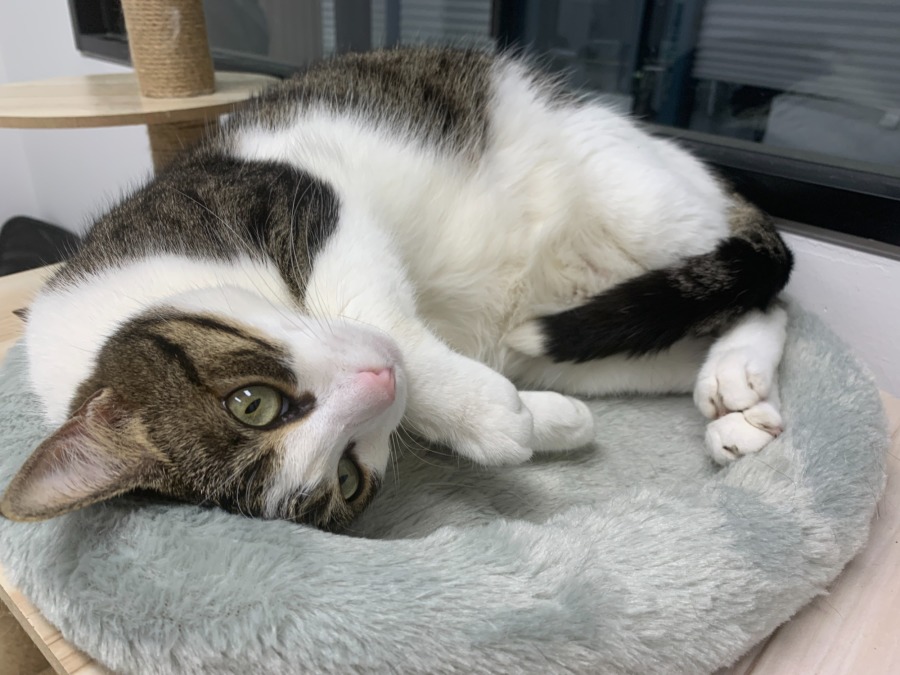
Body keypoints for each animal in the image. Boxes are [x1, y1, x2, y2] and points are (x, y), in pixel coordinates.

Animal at [0, 47, 792, 532]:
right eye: (348, 474)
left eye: (251, 403)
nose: (380, 383)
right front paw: (544, 420)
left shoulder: (303, 200)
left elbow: (379, 309)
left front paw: (486, 414)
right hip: (580, 339)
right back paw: (732, 398)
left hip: (638, 201)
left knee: (769, 289)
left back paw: (738, 368)